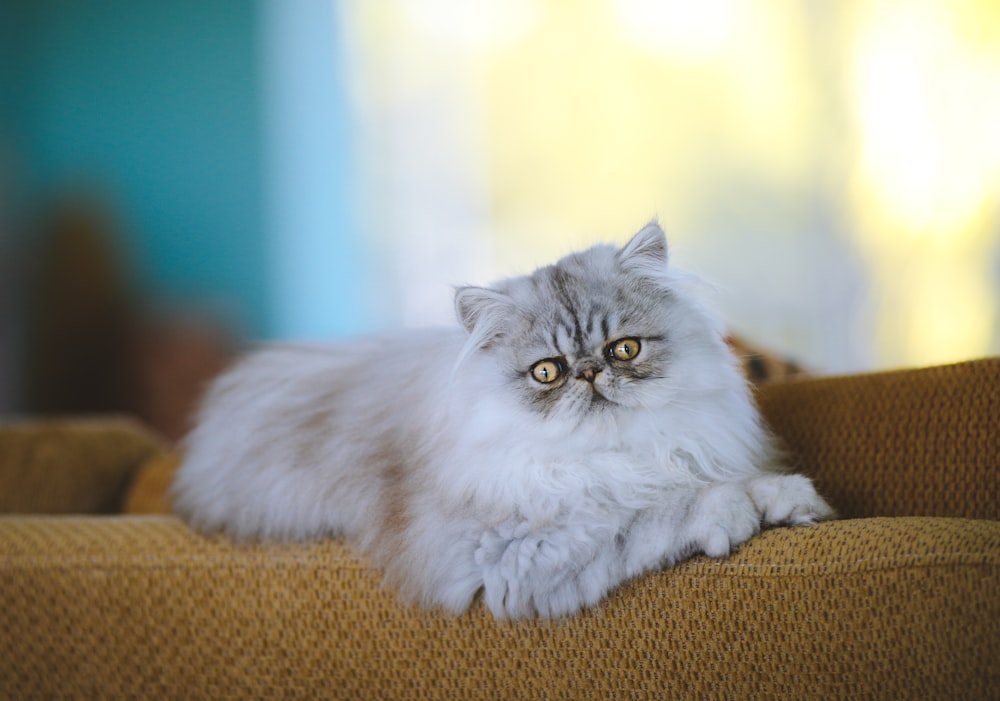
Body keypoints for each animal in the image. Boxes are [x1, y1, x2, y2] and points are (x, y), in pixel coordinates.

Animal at [174, 220, 836, 616]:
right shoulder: (511, 551)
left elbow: (726, 480)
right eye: (547, 372)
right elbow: (653, 513)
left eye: (623, 349)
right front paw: (732, 512)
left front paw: (791, 500)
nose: (589, 375)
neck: (616, 458)